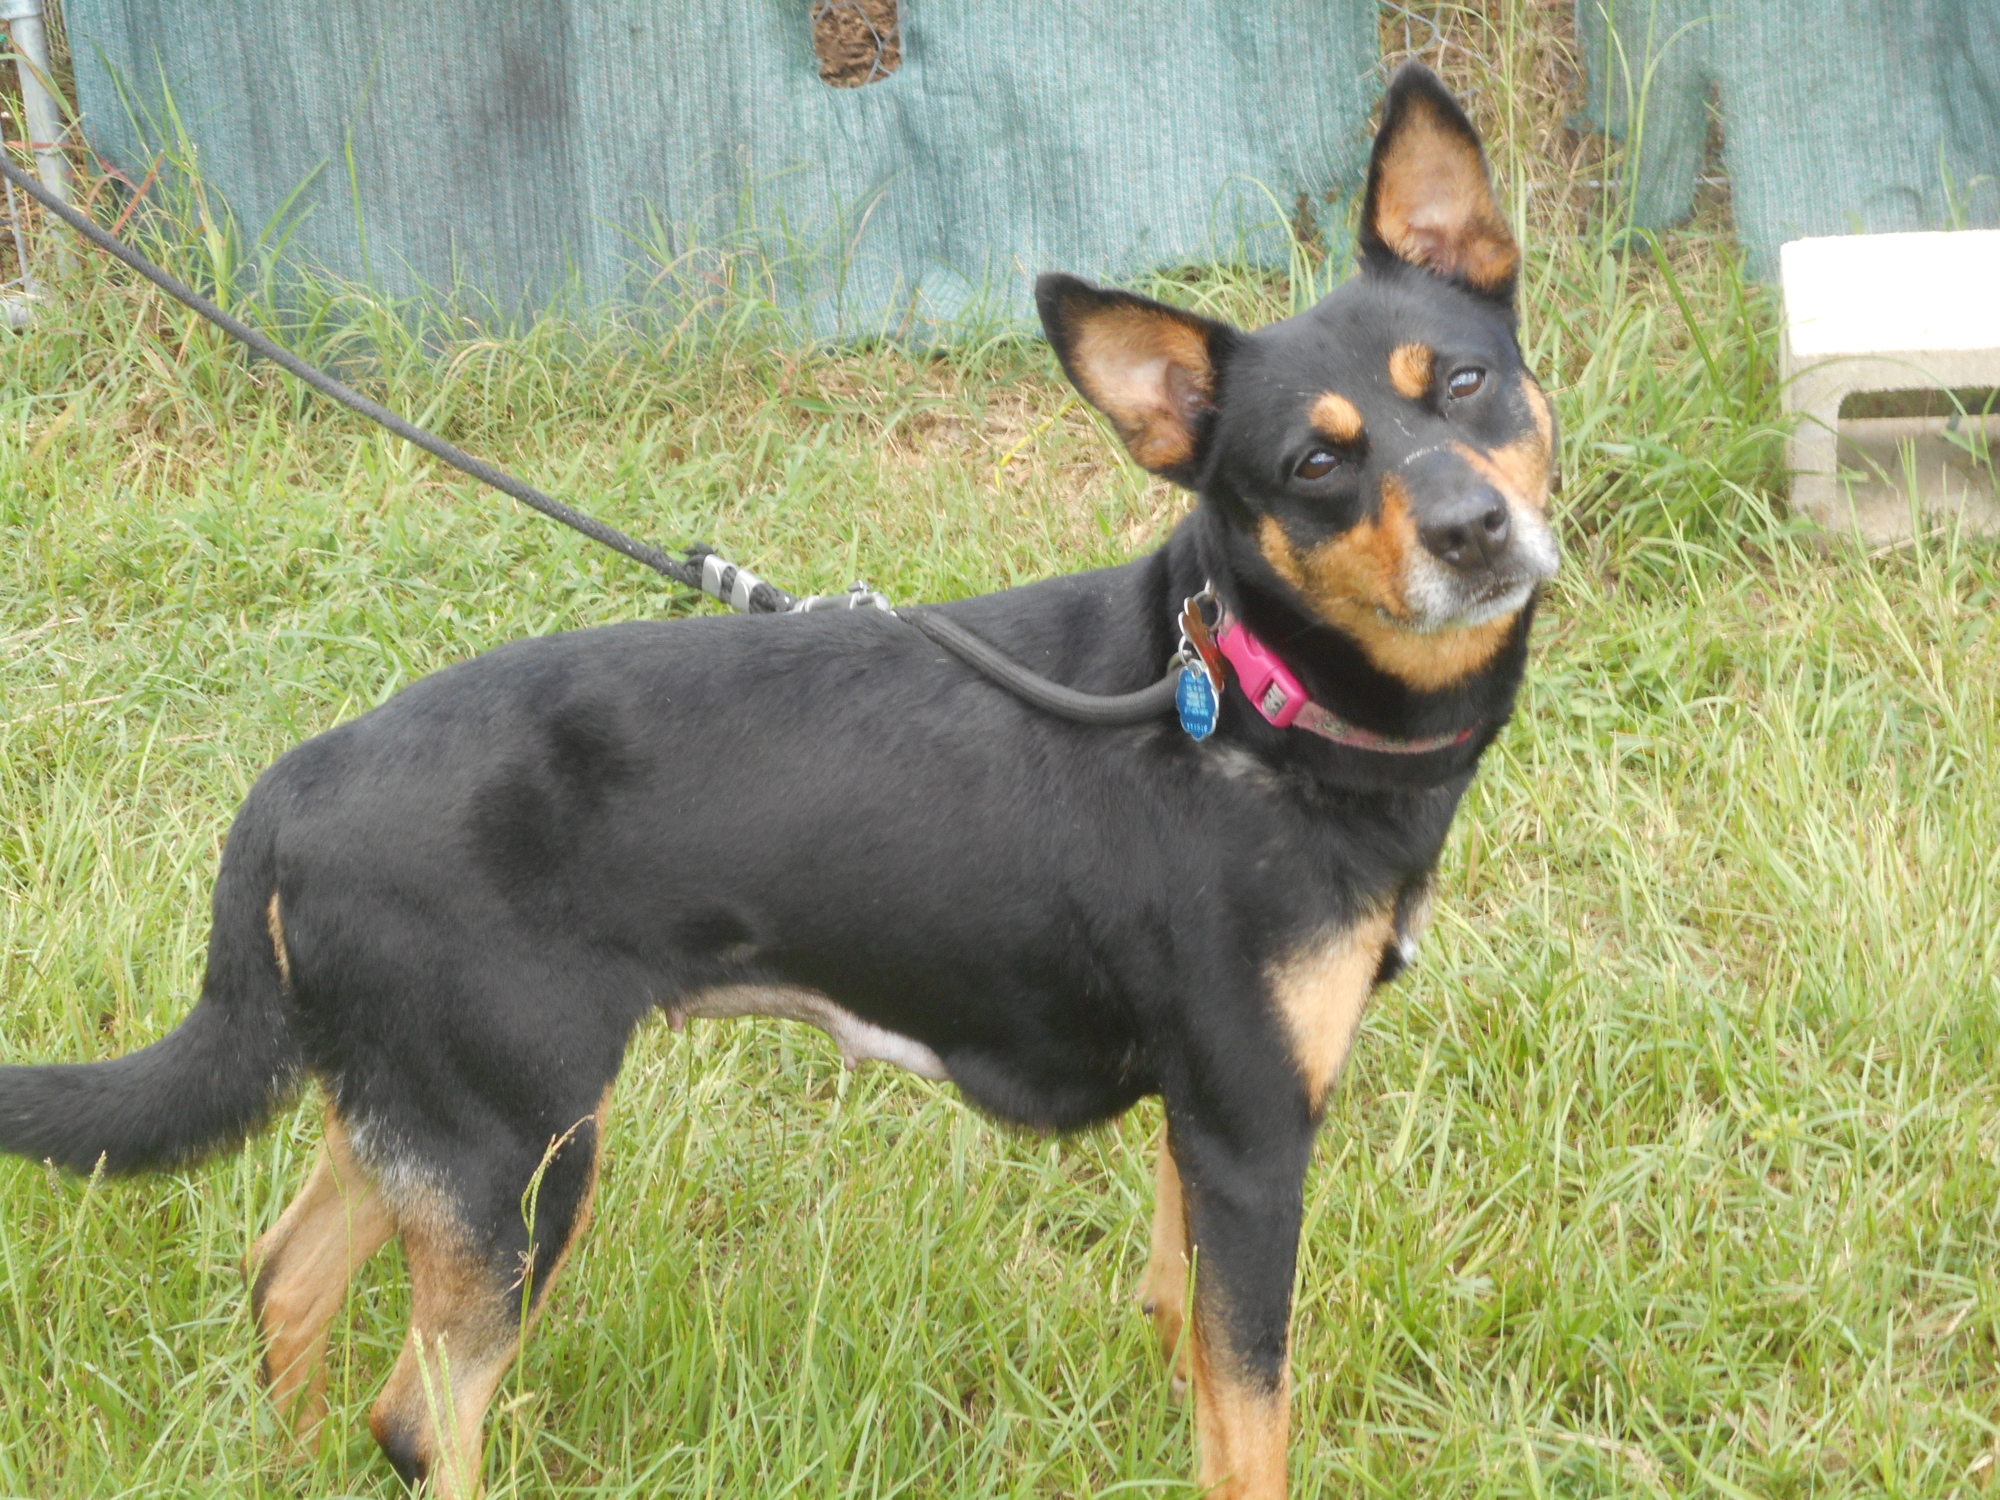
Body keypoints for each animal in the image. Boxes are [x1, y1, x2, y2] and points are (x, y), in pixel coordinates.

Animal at [0, 67, 1560, 1500]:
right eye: (1310, 464)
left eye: (1463, 383)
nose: (1477, 530)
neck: (1246, 690)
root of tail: (299, 782)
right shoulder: (1248, 1130)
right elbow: (1251, 1417)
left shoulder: (1205, 1126)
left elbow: (1185, 1335)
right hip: (519, 1156)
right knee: (419, 1417)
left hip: (416, 1120)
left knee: (285, 1280)